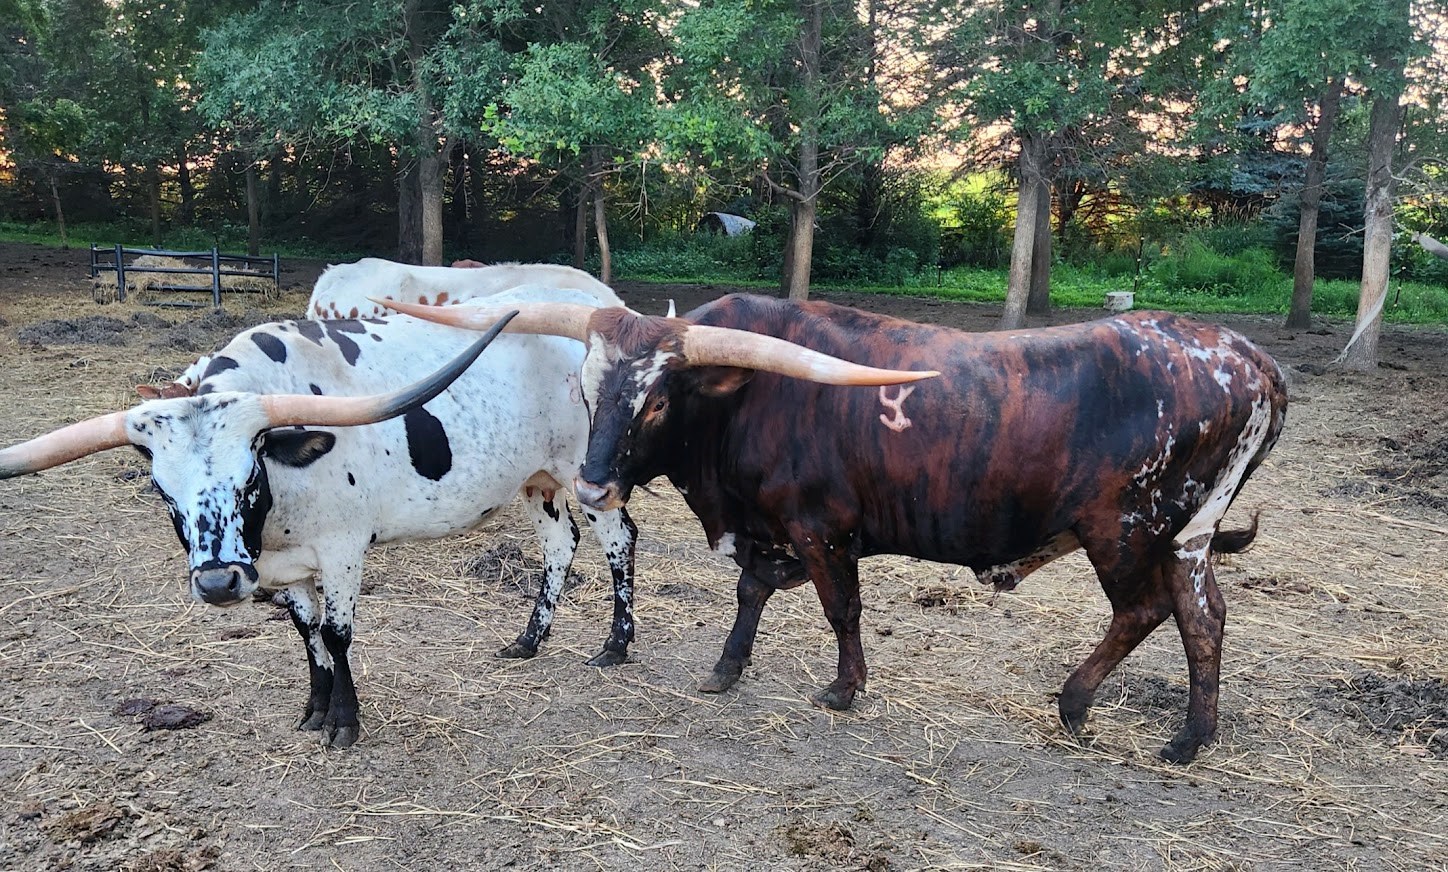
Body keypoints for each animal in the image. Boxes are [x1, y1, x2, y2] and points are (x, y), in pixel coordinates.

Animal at [0, 287, 641, 748]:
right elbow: (306, 632)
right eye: (162, 490)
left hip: (585, 475)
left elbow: (336, 634)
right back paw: (529, 640)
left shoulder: (341, 550)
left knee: (619, 540)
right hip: (537, 480)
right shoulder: (284, 565)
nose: (219, 583)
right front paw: (315, 708)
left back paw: (615, 644)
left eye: (249, 476)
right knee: (560, 544)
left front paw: (345, 721)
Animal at [382, 293, 1288, 764]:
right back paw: (1192, 734)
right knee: (1203, 615)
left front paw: (846, 687)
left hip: (1126, 527)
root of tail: (1244, 355)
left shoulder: (823, 528)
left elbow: (838, 607)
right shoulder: (767, 529)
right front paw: (727, 667)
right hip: (1185, 536)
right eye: (587, 387)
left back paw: (1084, 707)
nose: (593, 483)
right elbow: (752, 590)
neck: (748, 398)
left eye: (660, 399)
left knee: (1148, 611)